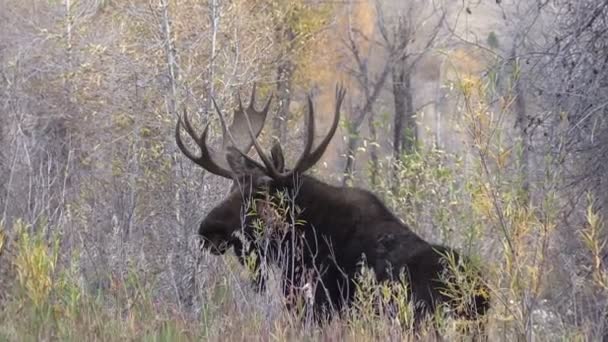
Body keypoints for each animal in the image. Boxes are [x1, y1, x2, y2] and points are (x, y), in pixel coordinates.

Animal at [176, 85, 490, 326]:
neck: (300, 243)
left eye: (258, 194)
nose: (206, 228)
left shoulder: (318, 308)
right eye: (232, 188)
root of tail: (483, 294)